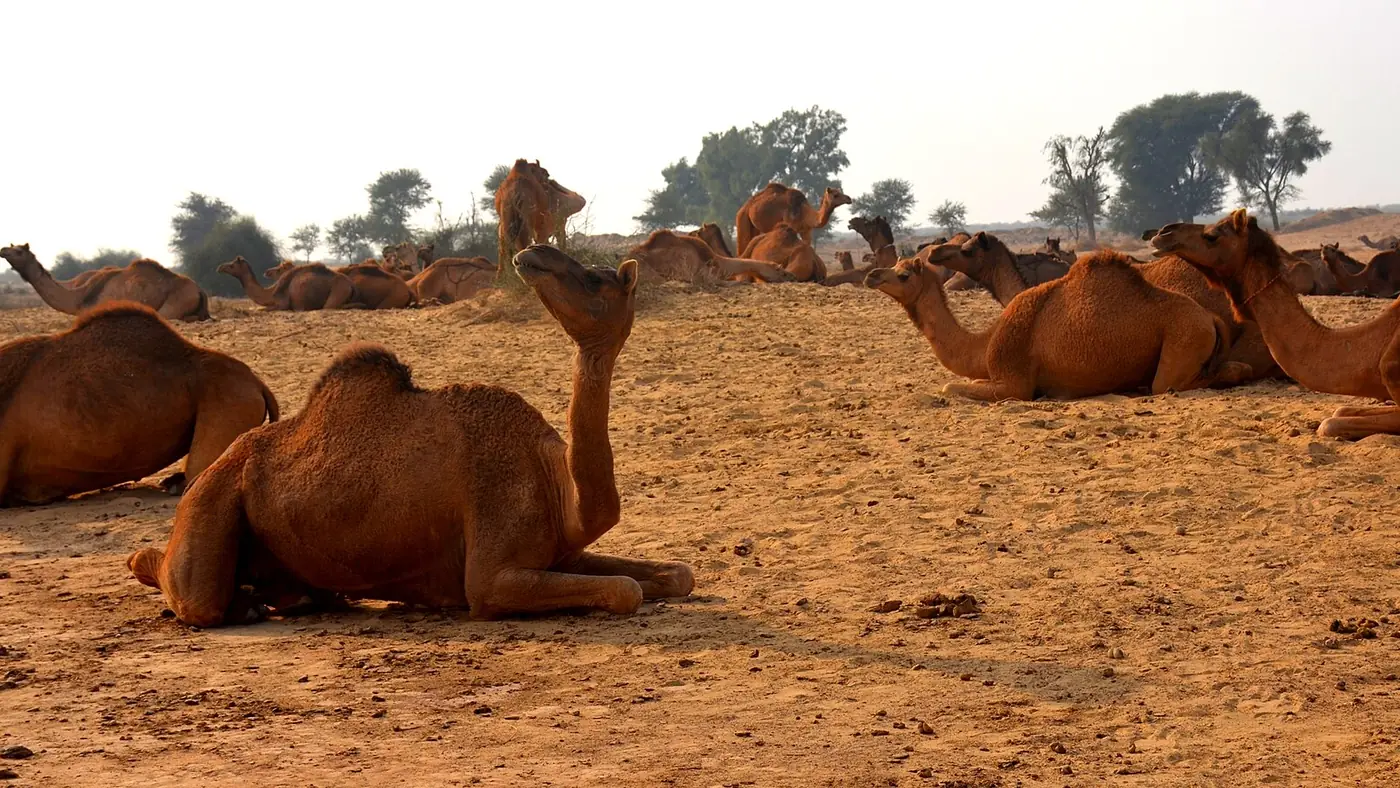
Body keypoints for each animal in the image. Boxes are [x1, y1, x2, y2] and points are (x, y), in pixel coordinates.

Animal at [1, 245, 209, 322]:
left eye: (19, 251)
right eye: (12, 246)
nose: (3, 249)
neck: (78, 297)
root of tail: (200, 291)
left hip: (174, 303)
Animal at [218, 257, 355, 311]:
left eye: (232, 265)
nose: (220, 267)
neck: (270, 293)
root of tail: (351, 284)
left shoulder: (282, 303)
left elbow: (261, 309)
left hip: (337, 291)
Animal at [867, 246, 1245, 401]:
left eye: (903, 274)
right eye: (895, 265)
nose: (872, 275)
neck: (986, 341)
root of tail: (1210, 317)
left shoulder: (1014, 381)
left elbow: (949, 388)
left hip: (1182, 340)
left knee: (1171, 384)